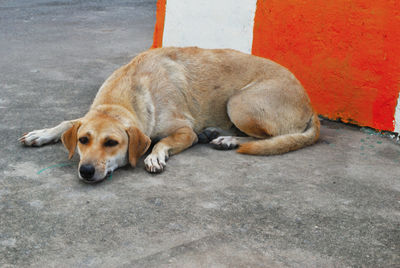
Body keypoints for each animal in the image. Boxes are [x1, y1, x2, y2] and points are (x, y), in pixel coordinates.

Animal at [18, 47, 320, 183]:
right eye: (83, 141)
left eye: (111, 143)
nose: (86, 171)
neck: (126, 96)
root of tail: (310, 103)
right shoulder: (87, 117)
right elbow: (68, 122)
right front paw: (42, 134)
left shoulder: (183, 131)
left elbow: (162, 141)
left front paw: (154, 156)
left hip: (239, 102)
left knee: (271, 136)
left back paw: (228, 140)